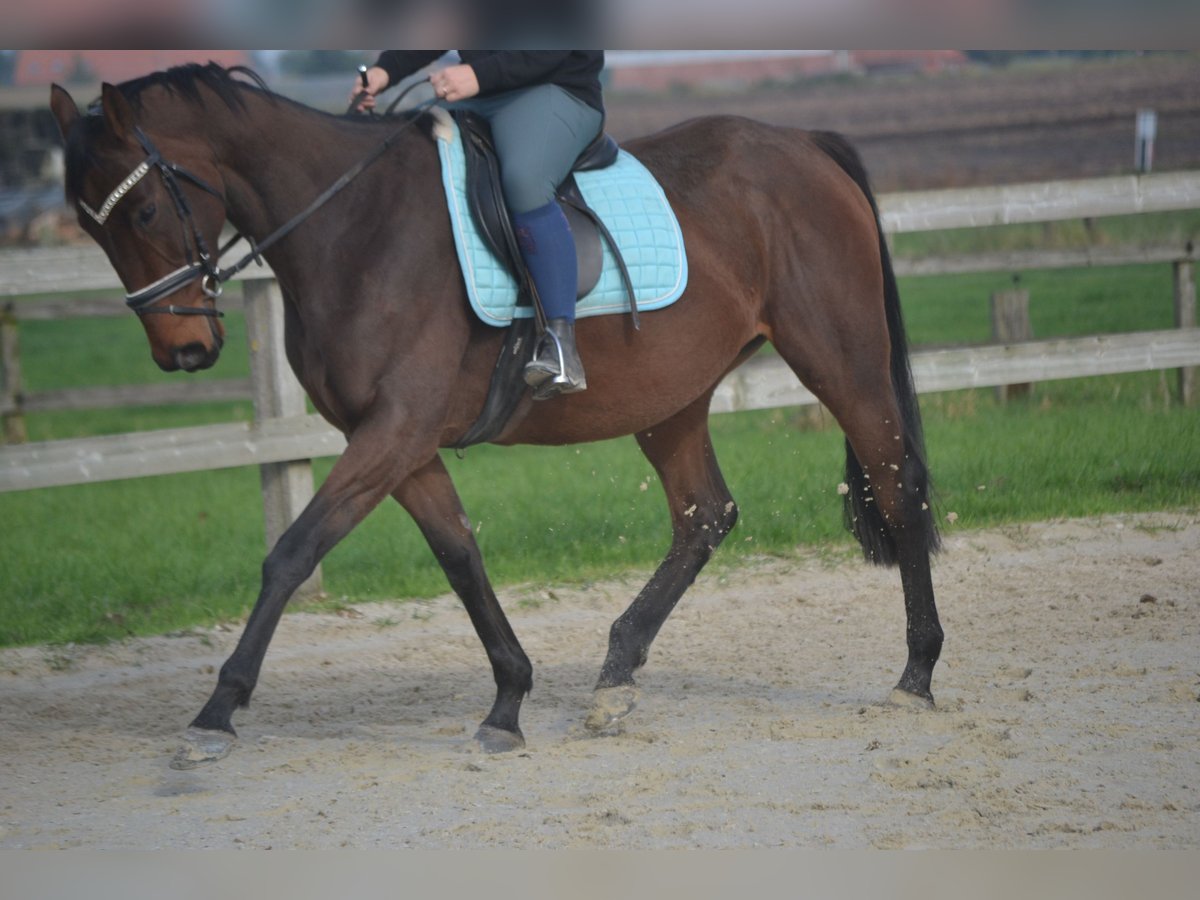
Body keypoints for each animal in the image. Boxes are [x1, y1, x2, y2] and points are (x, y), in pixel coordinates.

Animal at [49, 65, 945, 768]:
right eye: (89, 227)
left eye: (143, 213)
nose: (186, 350)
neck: (354, 227)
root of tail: (804, 143)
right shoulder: (402, 445)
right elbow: (459, 557)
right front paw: (509, 704)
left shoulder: (393, 433)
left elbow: (292, 553)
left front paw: (216, 713)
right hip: (671, 396)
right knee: (704, 515)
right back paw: (614, 680)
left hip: (840, 362)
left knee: (896, 486)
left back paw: (916, 677)